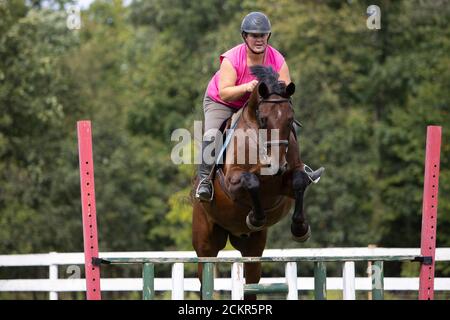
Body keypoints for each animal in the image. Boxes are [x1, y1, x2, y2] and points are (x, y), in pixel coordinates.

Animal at [192, 65, 314, 300]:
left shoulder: (289, 179)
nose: (278, 164)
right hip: (205, 244)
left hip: (253, 248)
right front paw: (255, 218)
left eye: (290, 119)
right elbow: (252, 182)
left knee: (251, 282)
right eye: (264, 119)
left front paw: (300, 228)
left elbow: (299, 182)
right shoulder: (233, 180)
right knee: (205, 277)